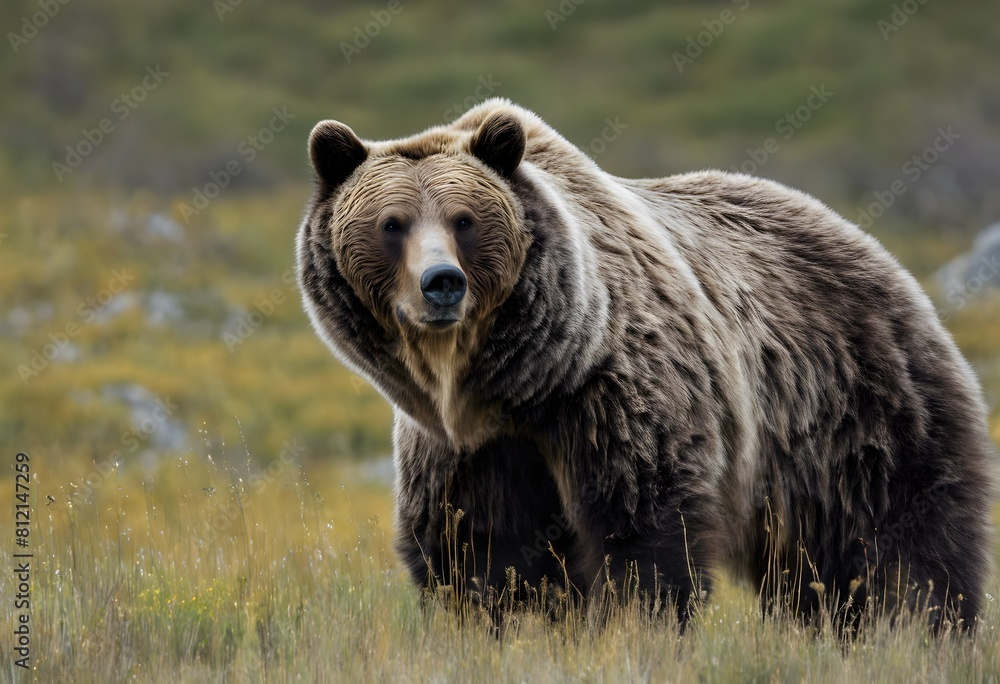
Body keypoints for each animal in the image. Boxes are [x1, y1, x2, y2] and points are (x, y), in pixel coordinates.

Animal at [296, 98, 996, 630]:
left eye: (464, 220)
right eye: (392, 224)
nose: (441, 283)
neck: (519, 383)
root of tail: (865, 242)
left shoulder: (617, 392)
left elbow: (643, 529)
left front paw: (634, 626)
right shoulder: (467, 446)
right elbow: (476, 550)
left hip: (855, 405)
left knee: (900, 540)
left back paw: (922, 628)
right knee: (817, 575)